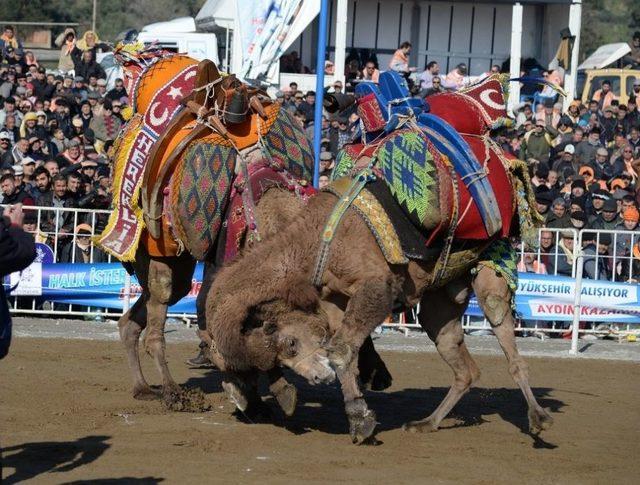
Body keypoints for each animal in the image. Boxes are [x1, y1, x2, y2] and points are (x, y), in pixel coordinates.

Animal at [208, 192, 552, 442]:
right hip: (441, 302)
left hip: (492, 265)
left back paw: (538, 419)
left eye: (289, 343)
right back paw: (425, 423)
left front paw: (360, 420)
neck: (314, 241)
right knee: (463, 365)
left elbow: (341, 350)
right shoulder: (334, 299)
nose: (317, 378)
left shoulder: (378, 285)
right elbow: (343, 351)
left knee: (501, 323)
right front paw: (359, 417)